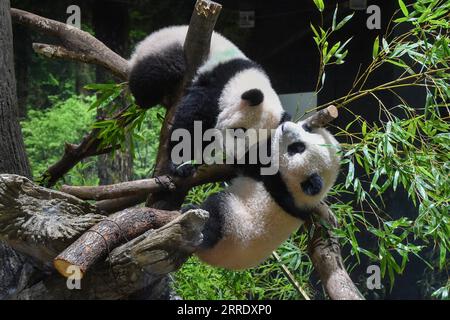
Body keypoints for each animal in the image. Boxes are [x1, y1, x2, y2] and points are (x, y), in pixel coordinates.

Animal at [127, 26, 288, 176]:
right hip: (164, 48)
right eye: (239, 131)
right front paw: (181, 165)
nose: (235, 156)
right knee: (157, 72)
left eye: (255, 146)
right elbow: (191, 119)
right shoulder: (215, 85)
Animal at [190, 120, 342, 270]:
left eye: (297, 148)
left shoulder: (274, 179)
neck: (294, 191)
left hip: (232, 225)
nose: (285, 127)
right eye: (307, 130)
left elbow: (247, 159)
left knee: (215, 215)